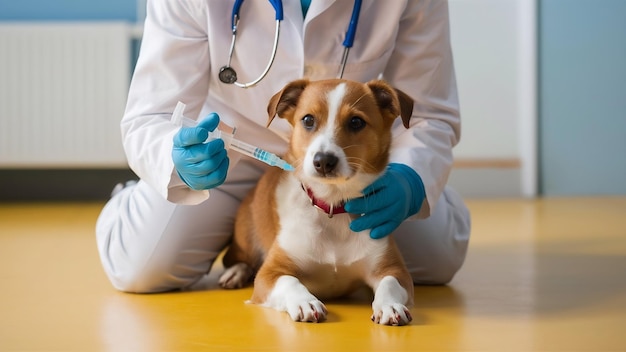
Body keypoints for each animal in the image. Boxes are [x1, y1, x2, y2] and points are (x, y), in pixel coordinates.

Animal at [218, 78, 414, 326]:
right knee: (239, 258)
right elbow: (290, 281)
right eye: (308, 120)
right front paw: (305, 302)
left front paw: (389, 305)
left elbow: (389, 283)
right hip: (246, 235)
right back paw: (235, 272)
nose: (324, 161)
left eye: (356, 122)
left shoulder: (394, 269)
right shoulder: (270, 273)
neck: (332, 206)